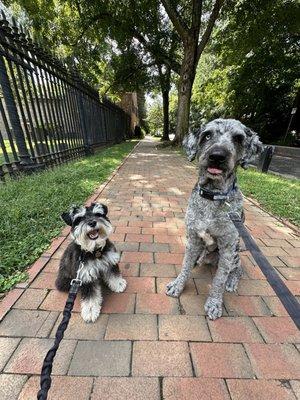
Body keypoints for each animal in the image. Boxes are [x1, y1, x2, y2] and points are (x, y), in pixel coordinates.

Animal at [166, 118, 262, 318]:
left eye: (238, 138)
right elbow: (185, 266)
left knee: (238, 269)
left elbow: (219, 279)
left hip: (235, 254)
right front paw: (178, 285)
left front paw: (214, 303)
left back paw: (232, 281)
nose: (217, 156)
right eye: (207, 135)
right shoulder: (193, 239)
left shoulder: (227, 248)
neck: (213, 196)